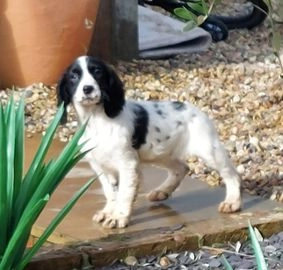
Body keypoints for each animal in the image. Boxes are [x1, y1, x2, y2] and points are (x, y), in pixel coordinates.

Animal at [57, 56, 242, 229]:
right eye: (74, 76)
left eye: (97, 72)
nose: (87, 89)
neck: (97, 121)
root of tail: (196, 110)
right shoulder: (99, 165)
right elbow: (110, 192)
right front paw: (109, 211)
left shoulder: (127, 164)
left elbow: (124, 193)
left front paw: (118, 217)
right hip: (160, 154)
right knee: (181, 168)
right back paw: (162, 191)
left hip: (208, 150)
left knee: (231, 175)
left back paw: (232, 202)